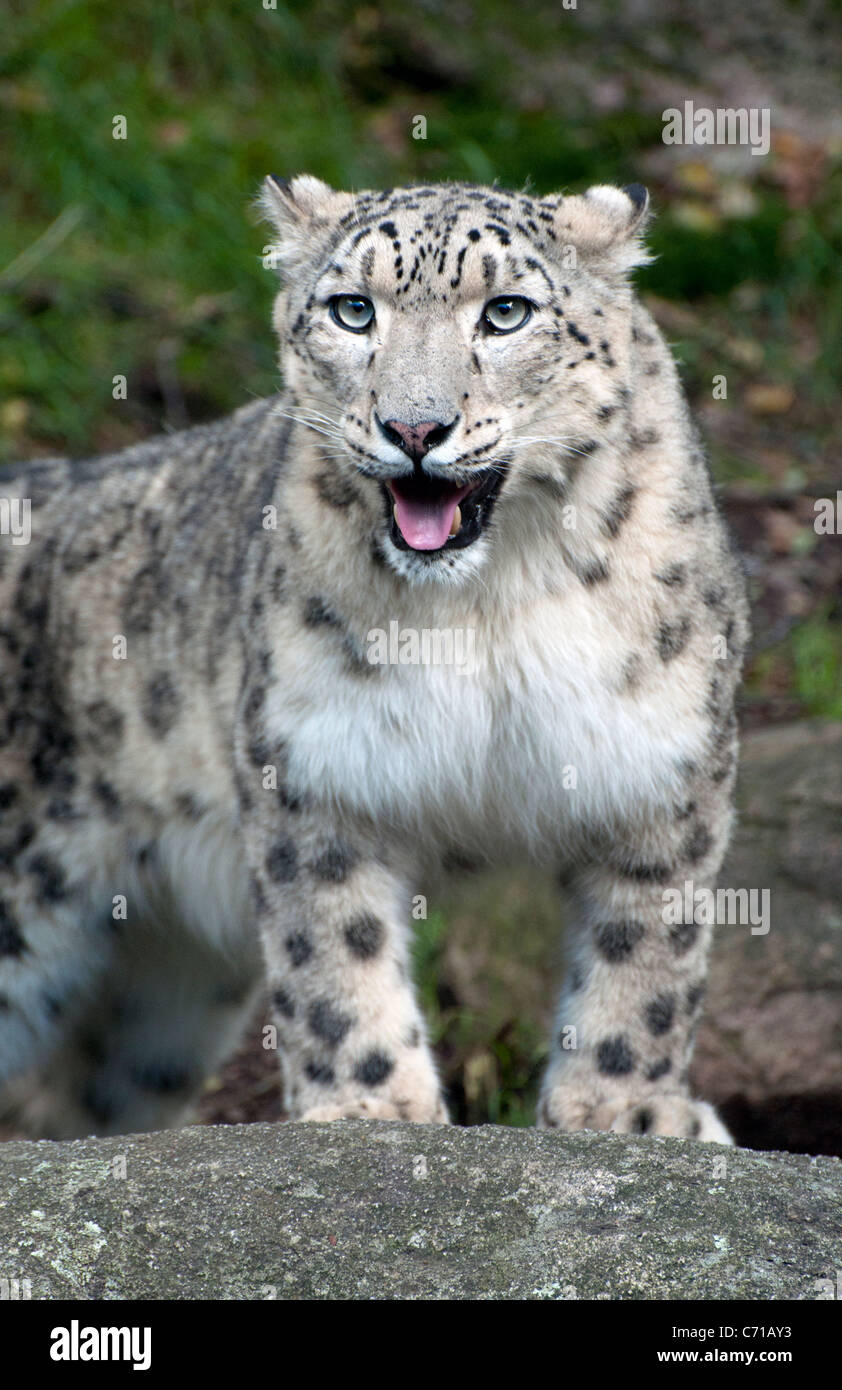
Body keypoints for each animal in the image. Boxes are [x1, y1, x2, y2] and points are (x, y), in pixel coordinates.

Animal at [0, 176, 750, 1139]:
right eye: (353, 310)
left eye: (506, 311)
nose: (416, 427)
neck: (488, 602)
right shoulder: (318, 764)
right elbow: (335, 951)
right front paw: (371, 1106)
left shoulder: (660, 765)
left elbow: (647, 953)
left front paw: (626, 1112)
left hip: (160, 996)